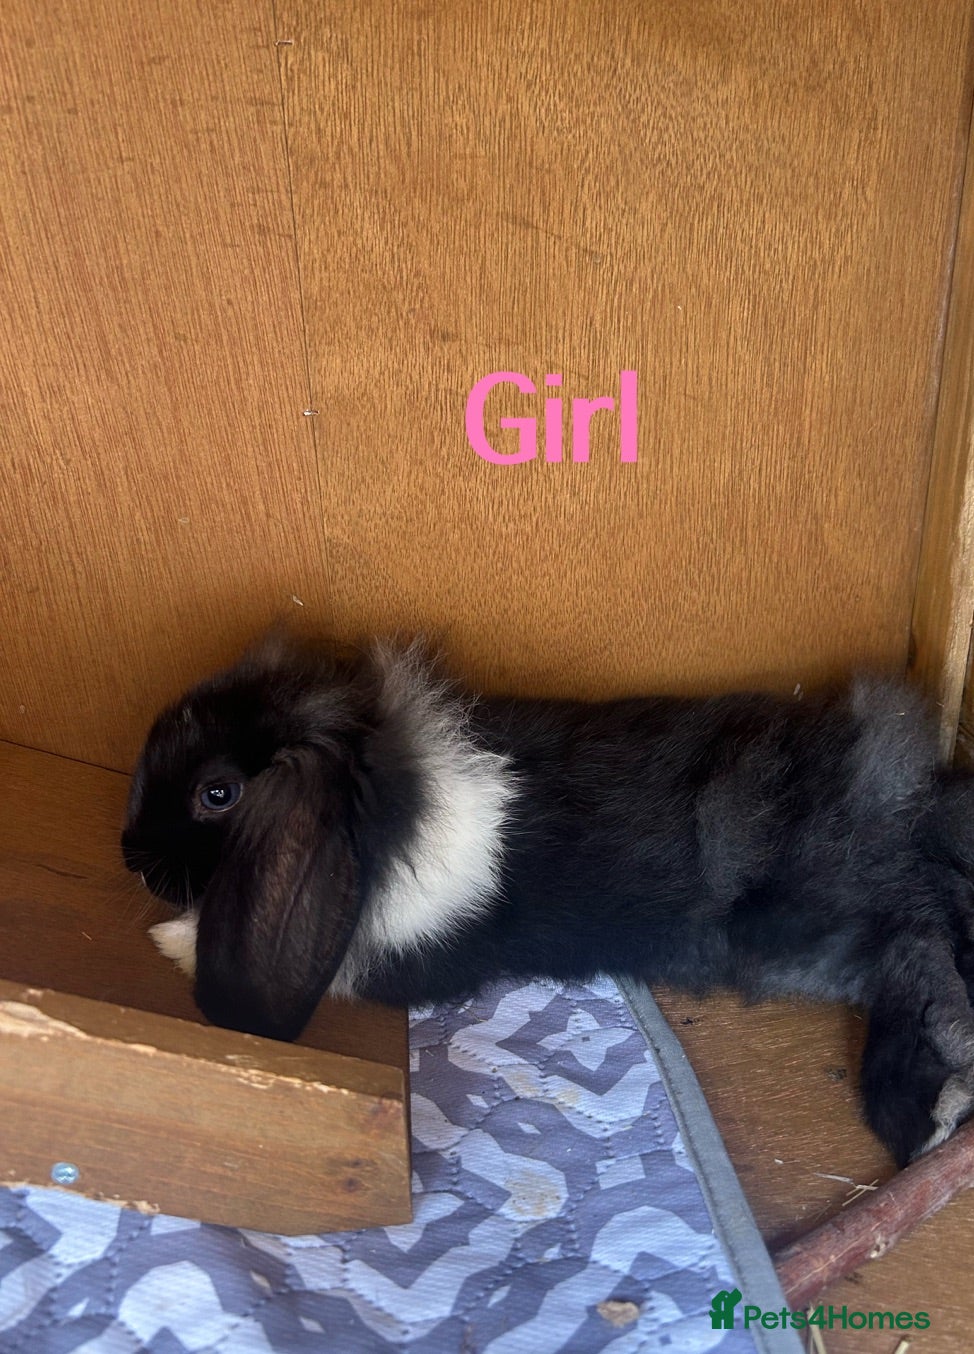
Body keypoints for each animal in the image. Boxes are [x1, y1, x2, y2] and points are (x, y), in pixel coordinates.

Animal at [121, 631, 974, 1167]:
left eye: (218, 794)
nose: (131, 858)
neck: (388, 793)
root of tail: (904, 794)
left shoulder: (406, 958)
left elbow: (342, 971)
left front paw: (171, 939)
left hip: (805, 922)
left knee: (915, 948)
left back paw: (924, 1113)